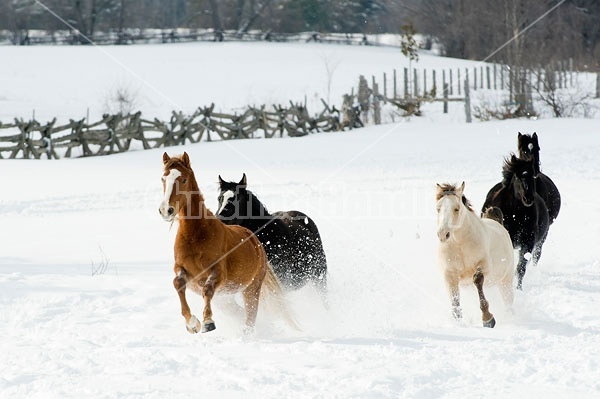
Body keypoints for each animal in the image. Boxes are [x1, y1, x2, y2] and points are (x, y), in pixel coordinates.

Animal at [159, 153, 290, 334]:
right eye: (163, 178)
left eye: (183, 179)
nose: (166, 210)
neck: (195, 235)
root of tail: (254, 239)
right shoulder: (182, 270)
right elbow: (178, 284)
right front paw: (192, 324)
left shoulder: (218, 272)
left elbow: (207, 289)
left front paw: (208, 322)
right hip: (227, 299)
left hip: (251, 288)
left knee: (250, 316)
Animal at [436, 183, 516, 330]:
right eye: (438, 208)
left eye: (456, 208)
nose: (443, 234)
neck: (460, 245)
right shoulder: (449, 274)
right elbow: (455, 300)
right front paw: (458, 322)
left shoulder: (484, 267)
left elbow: (477, 279)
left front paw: (488, 319)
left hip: (505, 281)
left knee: (508, 301)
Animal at [482, 154, 548, 290]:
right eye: (517, 176)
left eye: (533, 175)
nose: (528, 198)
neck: (514, 214)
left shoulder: (527, 243)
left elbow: (520, 268)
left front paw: (519, 289)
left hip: (540, 242)